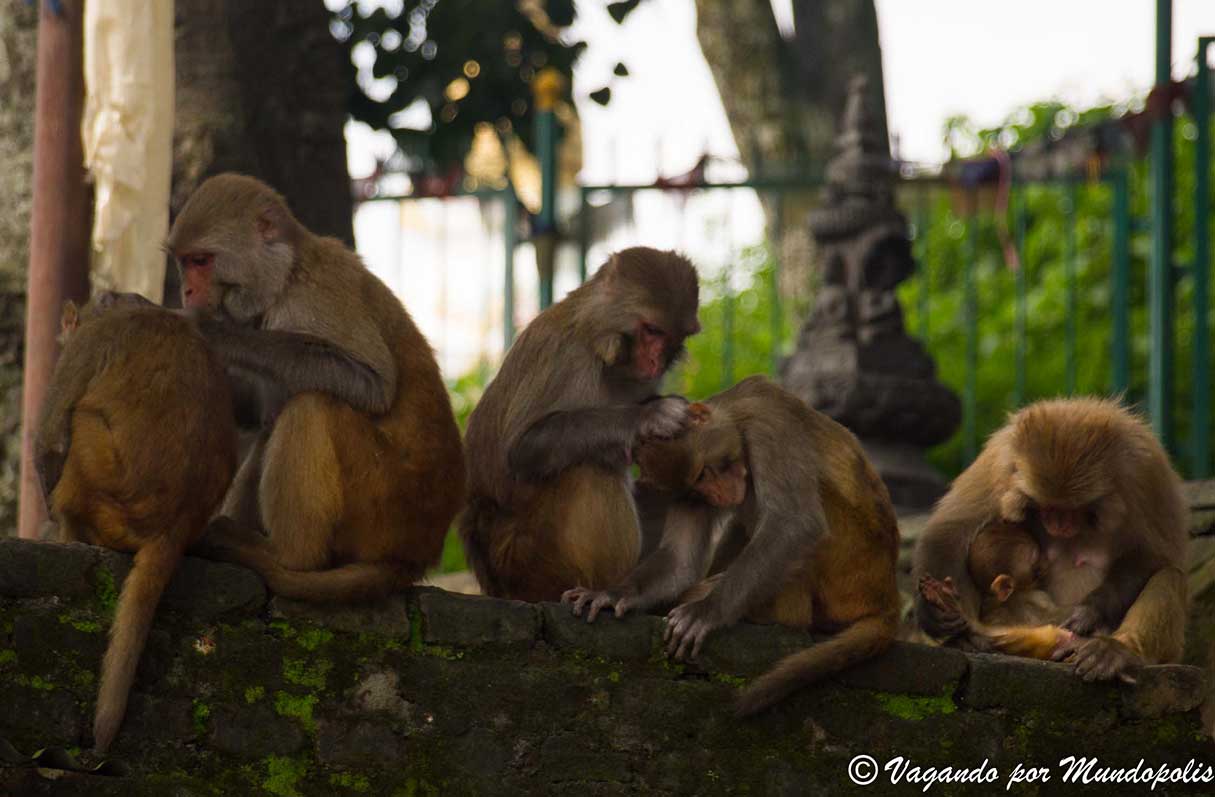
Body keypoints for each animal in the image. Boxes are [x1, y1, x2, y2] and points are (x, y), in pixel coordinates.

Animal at [34, 292, 237, 752]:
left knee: (83, 418)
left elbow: (52, 440)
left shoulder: (88, 343)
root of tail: (173, 529)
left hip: (107, 496)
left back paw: (71, 535)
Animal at [166, 173, 464, 603]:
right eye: (183, 261)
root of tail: (414, 557)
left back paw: (290, 557)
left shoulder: (314, 294)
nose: (187, 291)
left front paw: (210, 331)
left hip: (380, 505)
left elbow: (373, 385)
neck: (285, 274)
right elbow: (259, 410)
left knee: (312, 404)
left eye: (201, 261)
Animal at [459, 247, 701, 602]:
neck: (598, 342)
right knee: (590, 469)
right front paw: (650, 417)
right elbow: (521, 449)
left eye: (672, 336)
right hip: (527, 562)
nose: (656, 362)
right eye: (651, 330)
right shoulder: (561, 354)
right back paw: (603, 590)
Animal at [562, 376, 902, 716]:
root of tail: (888, 597)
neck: (736, 415)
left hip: (849, 569)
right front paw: (613, 594)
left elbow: (794, 522)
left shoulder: (770, 424)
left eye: (705, 471)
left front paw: (706, 611)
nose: (719, 495)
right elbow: (681, 561)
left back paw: (778, 613)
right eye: (696, 487)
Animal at [912, 397, 1189, 682]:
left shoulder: (1146, 470)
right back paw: (965, 634)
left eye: (1075, 508)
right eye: (1046, 506)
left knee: (1170, 575)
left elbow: (1155, 554)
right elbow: (949, 532)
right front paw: (935, 612)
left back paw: (1116, 651)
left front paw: (1092, 609)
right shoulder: (1001, 459)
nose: (1059, 524)